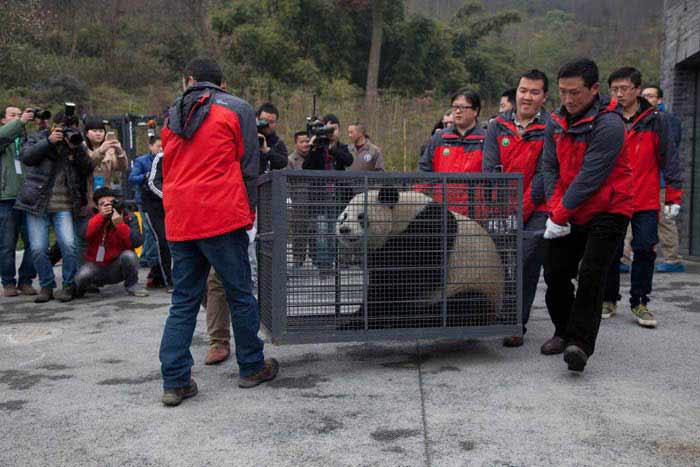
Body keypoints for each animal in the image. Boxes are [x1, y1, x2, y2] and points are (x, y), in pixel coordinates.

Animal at [335, 186, 504, 330]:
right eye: (344, 216)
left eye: (361, 217)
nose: (344, 229)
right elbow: (380, 280)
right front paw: (360, 316)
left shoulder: (427, 230)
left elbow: (414, 275)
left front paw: (371, 318)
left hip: (474, 284)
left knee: (463, 306)